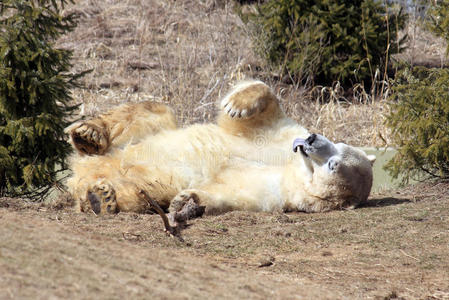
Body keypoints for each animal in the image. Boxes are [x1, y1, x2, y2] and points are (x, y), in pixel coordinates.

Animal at [65, 81, 374, 219]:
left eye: (334, 165)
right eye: (340, 145)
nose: (311, 139)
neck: (292, 167)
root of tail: (80, 171)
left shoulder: (274, 191)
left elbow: (226, 194)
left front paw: (185, 202)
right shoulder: (278, 137)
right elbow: (262, 113)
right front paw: (236, 104)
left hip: (139, 184)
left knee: (138, 192)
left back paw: (101, 198)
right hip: (141, 134)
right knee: (152, 112)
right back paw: (88, 134)